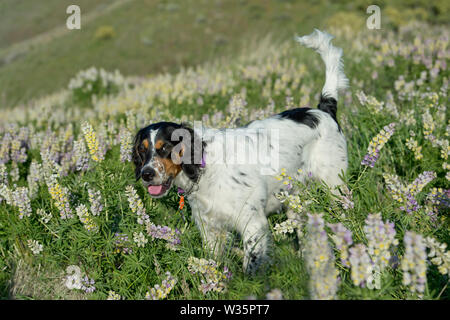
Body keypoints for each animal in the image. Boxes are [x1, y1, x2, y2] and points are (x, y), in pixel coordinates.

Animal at [131, 30, 348, 274]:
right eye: (141, 151)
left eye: (166, 147)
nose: (147, 174)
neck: (205, 167)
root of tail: (323, 109)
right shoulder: (210, 229)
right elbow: (214, 265)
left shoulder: (251, 222)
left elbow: (251, 265)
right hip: (295, 199)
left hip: (334, 186)